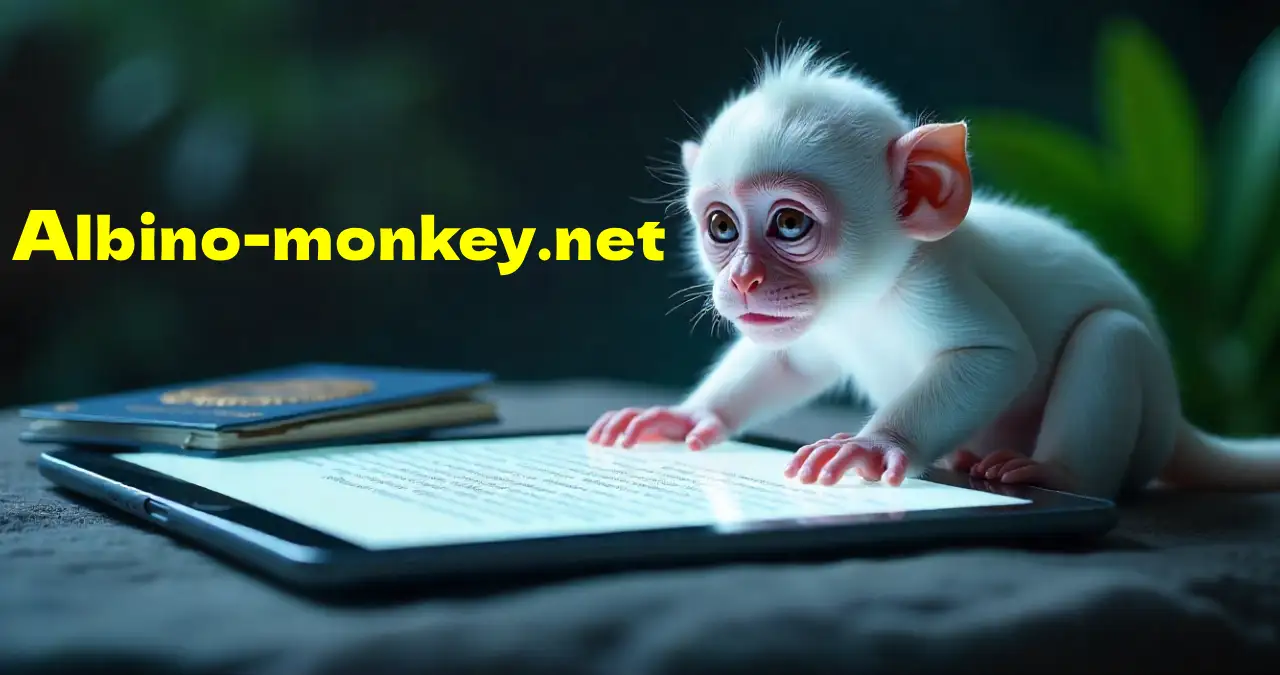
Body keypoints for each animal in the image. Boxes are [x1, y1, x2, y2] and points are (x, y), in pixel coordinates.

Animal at [585, 43, 1280, 502]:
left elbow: (995, 357)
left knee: (1110, 336)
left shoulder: (932, 282)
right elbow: (783, 364)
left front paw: (874, 446)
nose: (743, 281)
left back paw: (1062, 474)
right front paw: (686, 418)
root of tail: (1181, 425)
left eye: (788, 224)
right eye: (722, 228)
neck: (865, 301)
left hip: (1147, 416)